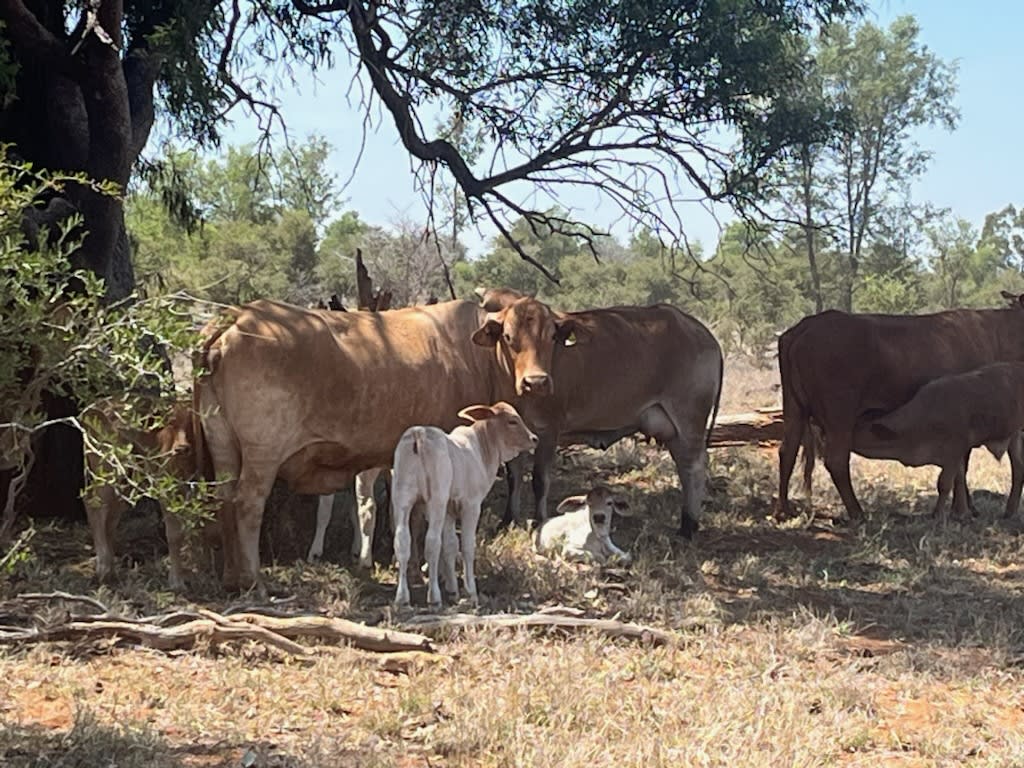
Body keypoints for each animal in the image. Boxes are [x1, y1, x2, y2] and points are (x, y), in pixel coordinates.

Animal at [392, 402, 538, 606]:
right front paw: (471, 591)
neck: (481, 450)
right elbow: (467, 546)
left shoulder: (449, 511)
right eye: (512, 421)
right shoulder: (471, 506)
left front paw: (453, 590)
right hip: (436, 500)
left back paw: (402, 598)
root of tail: (418, 433)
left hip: (402, 498)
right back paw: (434, 597)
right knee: (432, 543)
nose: (534, 439)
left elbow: (451, 546)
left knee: (402, 542)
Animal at [475, 288, 723, 538]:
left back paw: (689, 525)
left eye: (552, 337)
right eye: (508, 337)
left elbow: (539, 480)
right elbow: (514, 477)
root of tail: (700, 330)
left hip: (689, 419)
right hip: (674, 431)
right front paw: (507, 520)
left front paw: (539, 522)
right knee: (684, 466)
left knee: (694, 467)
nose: (536, 382)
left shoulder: (548, 430)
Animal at [850, 362, 1024, 524]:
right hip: (1015, 436)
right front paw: (962, 513)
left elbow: (944, 483)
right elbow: (959, 479)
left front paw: (938, 515)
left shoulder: (955, 450)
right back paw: (1010, 511)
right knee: (1018, 467)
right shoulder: (955, 455)